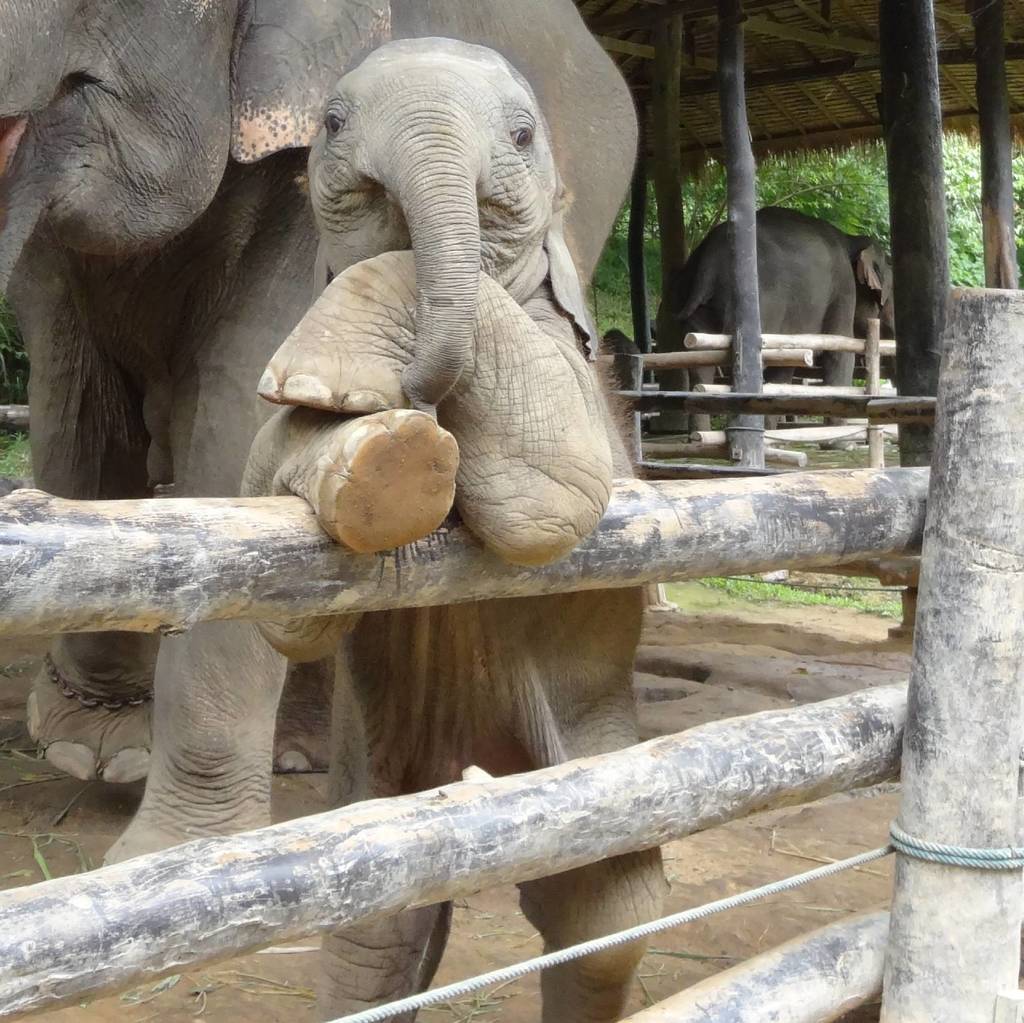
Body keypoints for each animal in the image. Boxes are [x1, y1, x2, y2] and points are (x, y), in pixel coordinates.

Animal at [654, 206, 894, 432]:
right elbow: (839, 353)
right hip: (755, 303)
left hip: (691, 300)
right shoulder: (843, 290)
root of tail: (709, 258)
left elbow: (783, 367)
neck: (851, 239)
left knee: (700, 364)